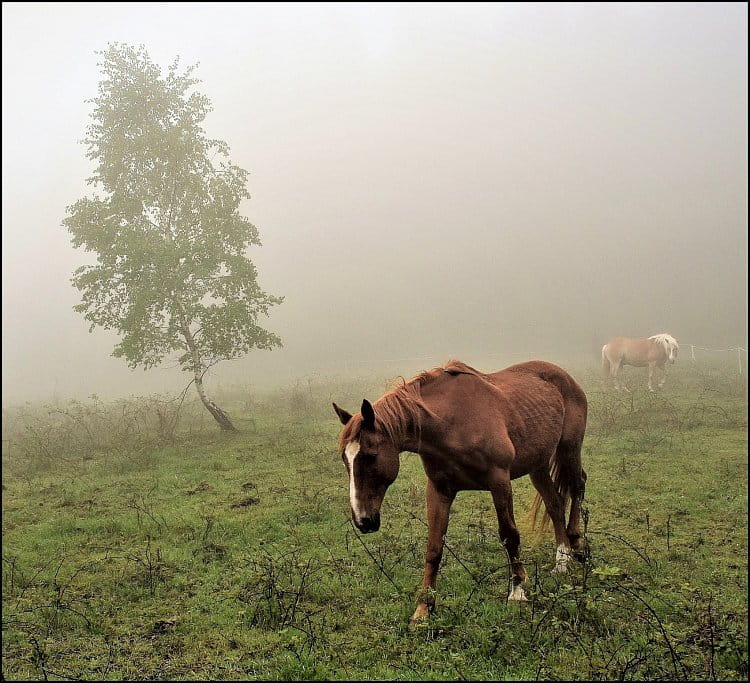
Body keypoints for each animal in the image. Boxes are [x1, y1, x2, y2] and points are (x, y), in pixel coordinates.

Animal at [334, 364, 588, 624]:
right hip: (537, 466)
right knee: (554, 503)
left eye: (370, 456)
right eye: (345, 458)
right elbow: (434, 547)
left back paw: (576, 542)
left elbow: (510, 535)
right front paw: (423, 609)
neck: (451, 424)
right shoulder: (439, 490)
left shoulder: (500, 481)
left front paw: (517, 592)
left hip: (568, 449)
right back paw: (562, 560)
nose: (363, 520)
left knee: (578, 485)